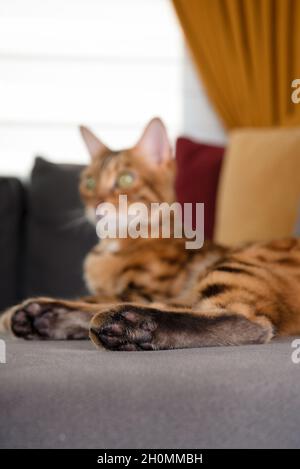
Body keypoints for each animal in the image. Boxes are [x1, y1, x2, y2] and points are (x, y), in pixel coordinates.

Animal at [0, 119, 300, 350]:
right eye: (90, 183)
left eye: (125, 179)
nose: (97, 204)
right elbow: (98, 296)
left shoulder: (143, 289)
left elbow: (96, 297)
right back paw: (45, 316)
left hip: (239, 264)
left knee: (248, 322)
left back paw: (127, 325)